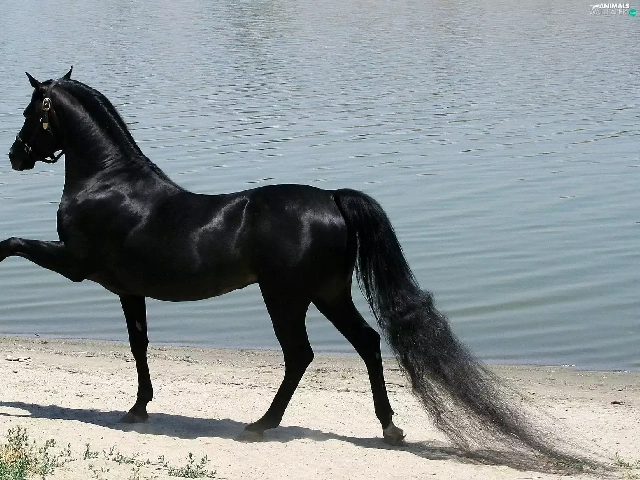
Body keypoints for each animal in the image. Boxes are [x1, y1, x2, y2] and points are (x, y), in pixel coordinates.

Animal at [4, 69, 578, 461]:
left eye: (32, 111)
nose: (16, 155)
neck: (109, 182)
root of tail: (331, 198)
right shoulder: (128, 289)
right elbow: (139, 344)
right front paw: (139, 408)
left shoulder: (77, 264)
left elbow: (10, 243)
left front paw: (137, 409)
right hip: (328, 294)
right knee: (367, 343)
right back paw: (388, 428)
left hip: (285, 297)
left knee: (300, 355)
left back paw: (263, 424)